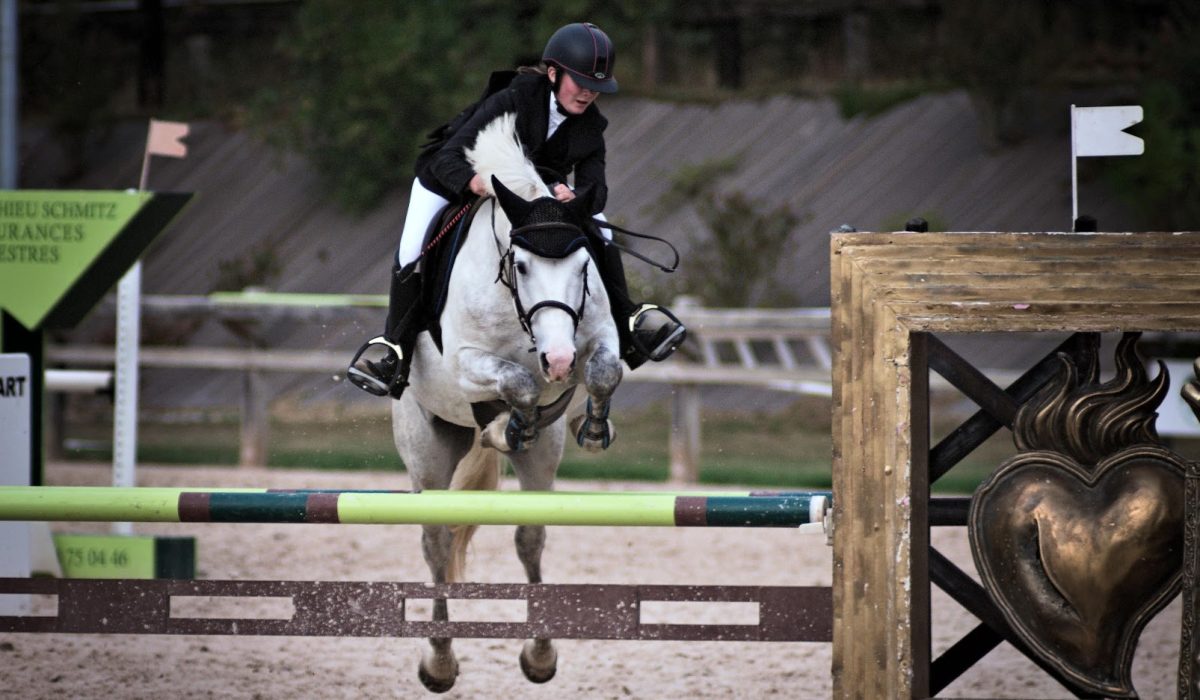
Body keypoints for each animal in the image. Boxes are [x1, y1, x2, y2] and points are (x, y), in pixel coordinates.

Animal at [391, 112, 623, 692]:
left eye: (585, 265)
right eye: (520, 266)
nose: (559, 360)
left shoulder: (596, 337)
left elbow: (603, 370)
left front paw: (594, 428)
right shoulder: (466, 363)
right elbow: (516, 381)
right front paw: (506, 423)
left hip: (542, 460)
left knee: (529, 536)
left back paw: (539, 654)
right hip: (427, 452)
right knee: (436, 543)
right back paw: (439, 663)